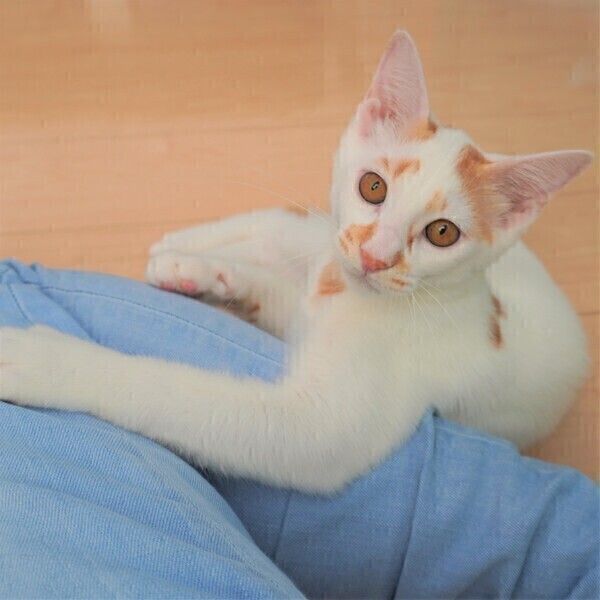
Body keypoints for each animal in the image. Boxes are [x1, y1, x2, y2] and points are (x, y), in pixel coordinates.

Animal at [0, 31, 592, 493]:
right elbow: (283, 267)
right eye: (372, 186)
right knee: (279, 226)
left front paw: (42, 360)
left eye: (442, 234)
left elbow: (178, 393)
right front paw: (201, 270)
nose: (375, 257)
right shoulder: (331, 263)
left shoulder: (323, 427)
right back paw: (187, 249)